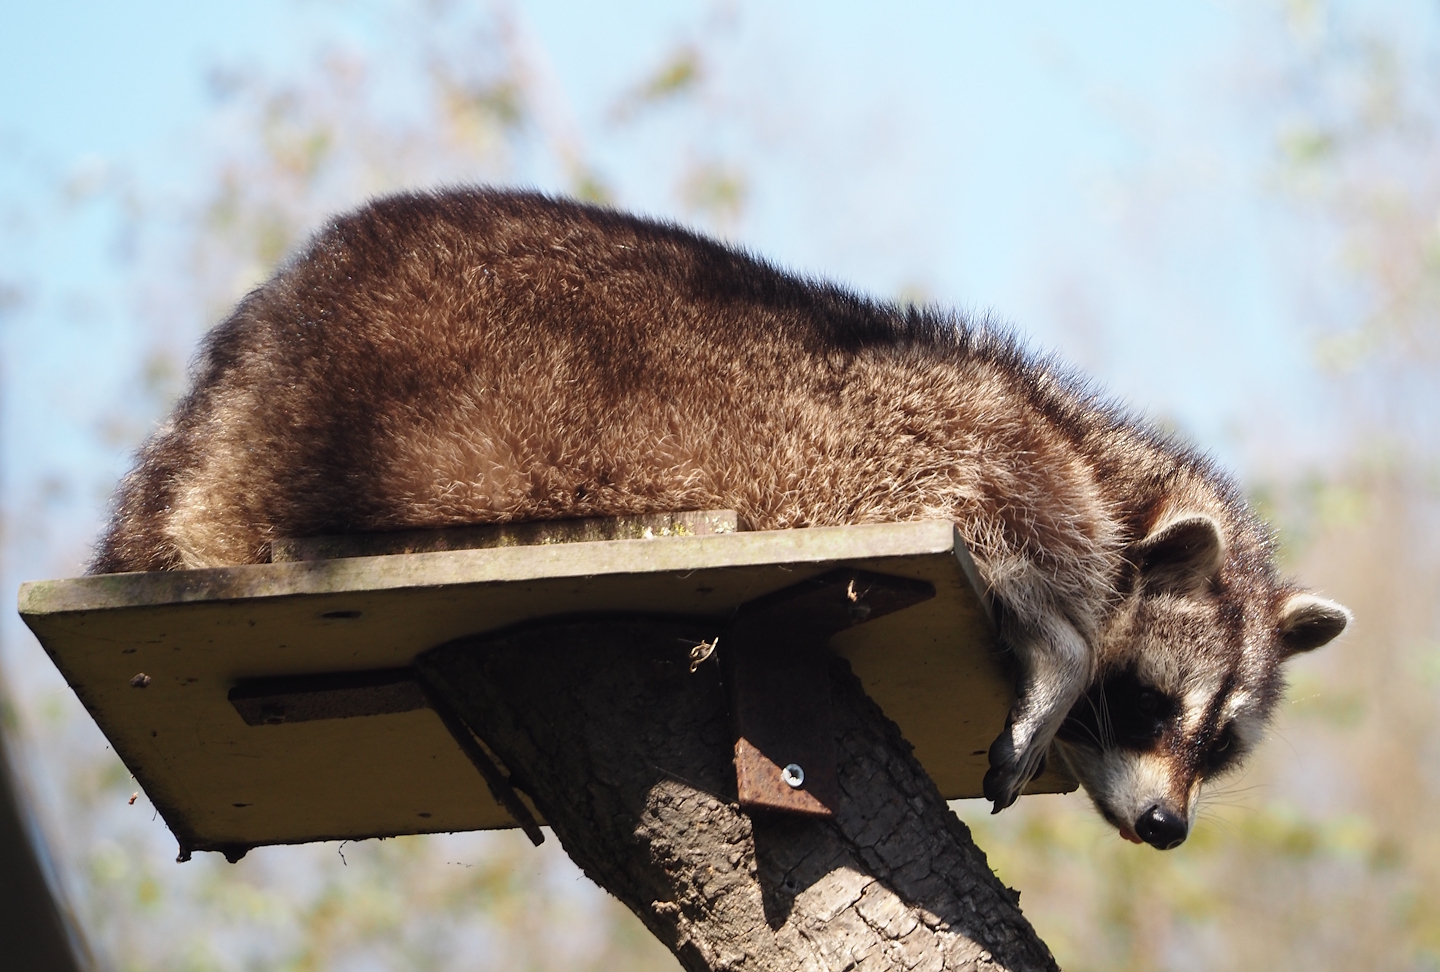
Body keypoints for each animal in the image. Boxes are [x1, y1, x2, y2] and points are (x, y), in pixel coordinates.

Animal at [91, 188, 1350, 849]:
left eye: (1217, 744)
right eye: (1146, 703)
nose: (1169, 825)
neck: (1099, 453)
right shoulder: (942, 427)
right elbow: (1010, 522)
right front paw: (1063, 640)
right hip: (446, 406)